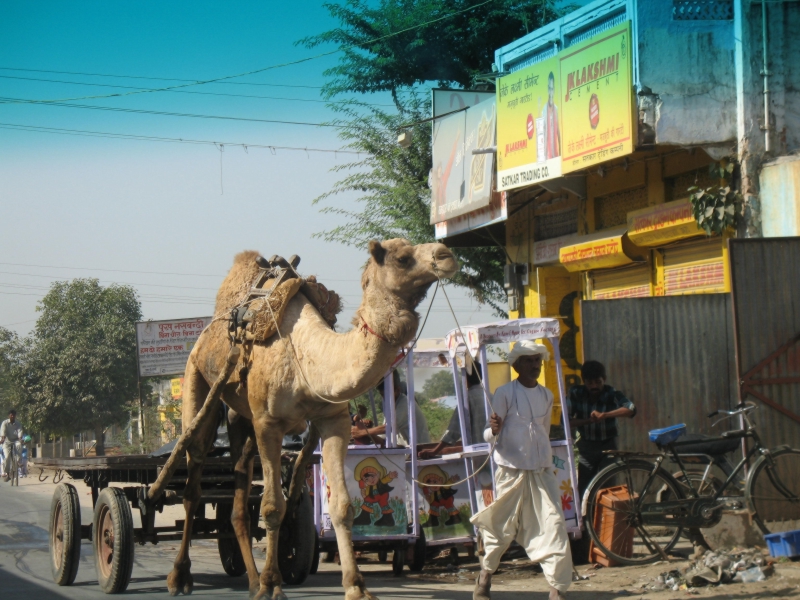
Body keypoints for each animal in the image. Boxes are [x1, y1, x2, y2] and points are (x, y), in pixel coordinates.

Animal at [168, 239, 456, 600]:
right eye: (403, 258)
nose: (446, 254)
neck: (307, 358)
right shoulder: (268, 423)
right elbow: (273, 507)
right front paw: (273, 585)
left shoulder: (333, 420)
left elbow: (342, 506)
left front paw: (356, 586)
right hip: (198, 380)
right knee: (193, 479)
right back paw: (181, 577)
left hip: (241, 418)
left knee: (238, 490)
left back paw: (252, 580)